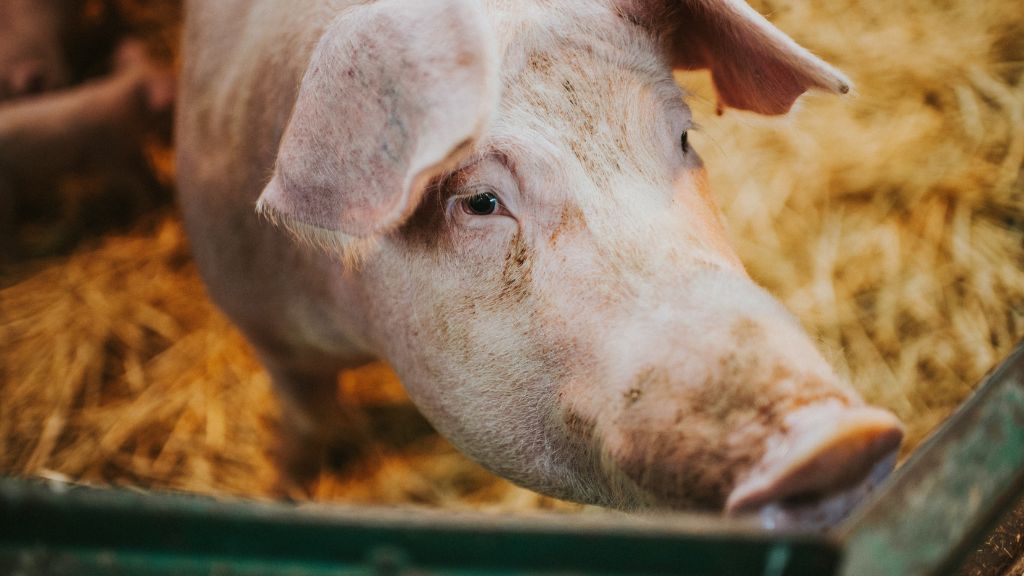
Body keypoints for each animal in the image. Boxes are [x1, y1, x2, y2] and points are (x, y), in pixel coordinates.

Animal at [178, 0, 905, 522]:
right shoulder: (258, 317)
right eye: (480, 201)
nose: (840, 439)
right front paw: (283, 488)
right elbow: (304, 419)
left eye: (682, 136)